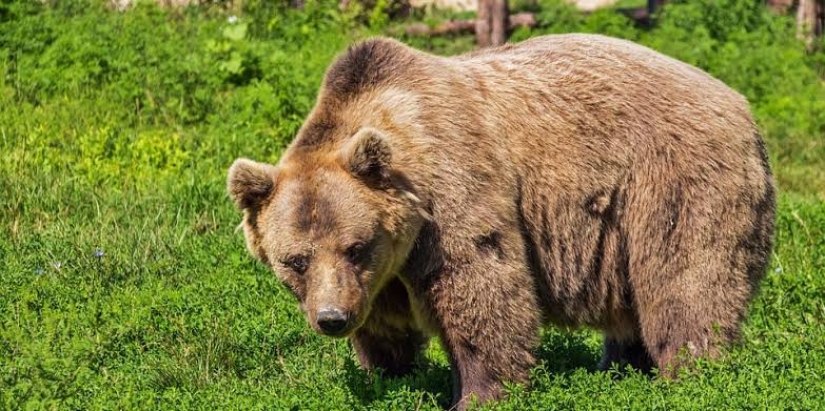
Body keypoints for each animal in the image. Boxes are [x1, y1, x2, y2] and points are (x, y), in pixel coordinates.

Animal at [227, 34, 775, 409]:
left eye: (354, 246)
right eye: (295, 260)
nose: (332, 319)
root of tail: (742, 105)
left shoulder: (452, 194)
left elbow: (482, 290)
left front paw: (479, 393)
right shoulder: (381, 274)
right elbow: (385, 327)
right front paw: (390, 375)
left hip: (673, 183)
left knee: (686, 283)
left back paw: (691, 374)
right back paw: (621, 368)